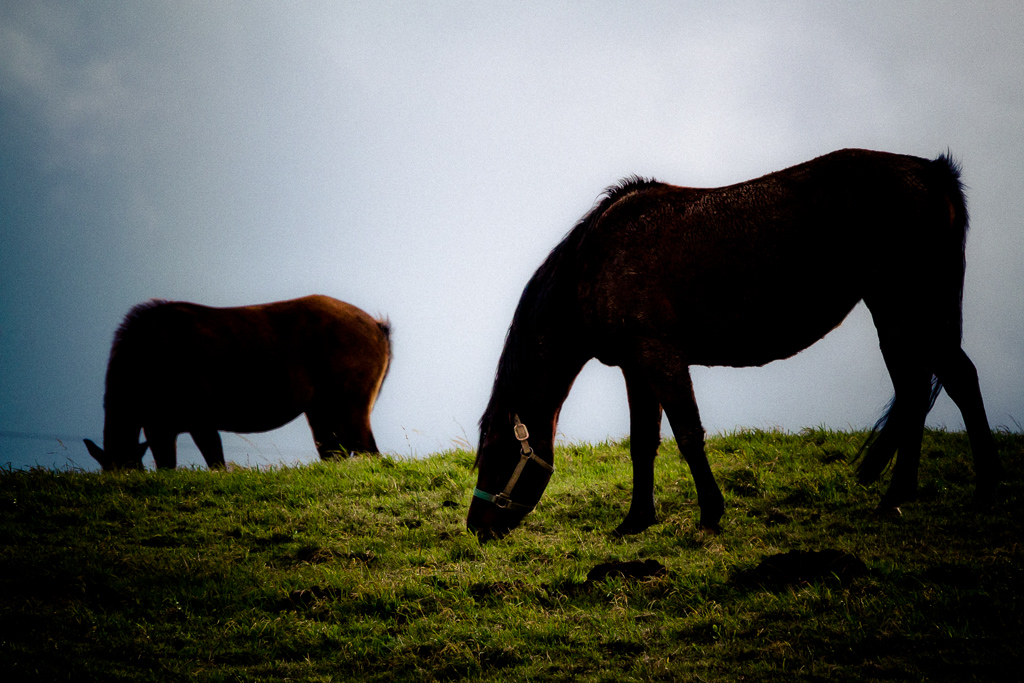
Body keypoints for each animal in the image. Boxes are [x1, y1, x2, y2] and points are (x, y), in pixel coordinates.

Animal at [84, 295, 391, 470]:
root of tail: (379, 327)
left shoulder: (199, 421)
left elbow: (216, 464)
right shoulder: (160, 428)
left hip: (352, 408)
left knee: (370, 452)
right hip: (320, 412)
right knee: (336, 454)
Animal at [467, 148, 1003, 540]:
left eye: (493, 451)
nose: (477, 527)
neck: (594, 262)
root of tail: (930, 171)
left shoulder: (660, 356)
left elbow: (687, 434)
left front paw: (710, 513)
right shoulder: (636, 367)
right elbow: (643, 443)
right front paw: (635, 521)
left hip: (906, 309)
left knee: (955, 380)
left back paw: (982, 493)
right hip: (899, 316)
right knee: (916, 391)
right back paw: (897, 497)